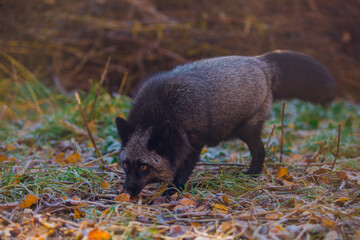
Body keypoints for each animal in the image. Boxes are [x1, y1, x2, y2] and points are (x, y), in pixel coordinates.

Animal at [114, 49, 334, 196]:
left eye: (144, 167)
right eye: (125, 164)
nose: (126, 191)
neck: (161, 112)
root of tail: (261, 62)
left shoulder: (193, 142)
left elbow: (183, 170)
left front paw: (174, 189)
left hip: (247, 129)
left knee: (260, 151)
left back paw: (252, 175)